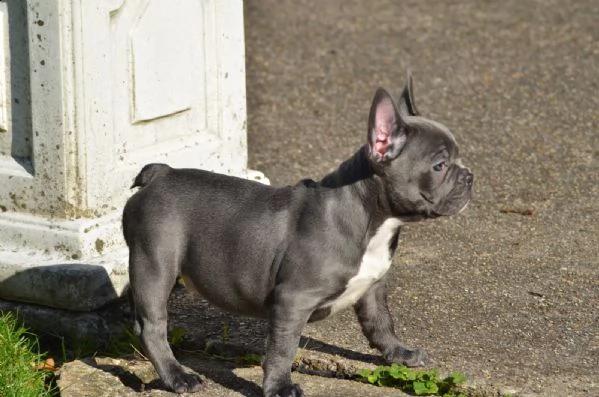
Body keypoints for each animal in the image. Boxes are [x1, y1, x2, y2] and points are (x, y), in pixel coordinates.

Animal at [124, 76, 476, 394]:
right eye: (440, 165)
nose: (470, 175)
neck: (371, 217)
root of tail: (161, 174)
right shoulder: (293, 301)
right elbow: (282, 349)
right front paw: (279, 387)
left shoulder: (373, 289)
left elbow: (381, 323)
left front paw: (398, 352)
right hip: (154, 264)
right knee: (152, 326)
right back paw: (176, 377)